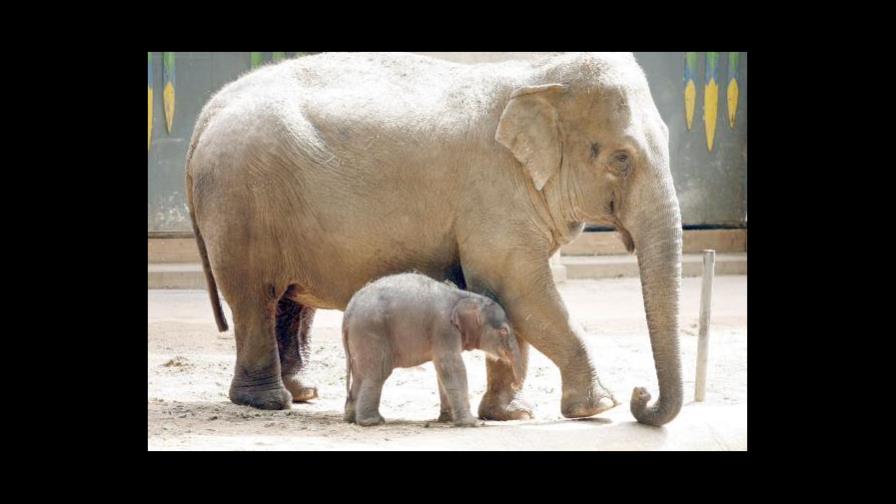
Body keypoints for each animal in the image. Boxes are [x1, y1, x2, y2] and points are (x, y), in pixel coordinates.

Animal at [342, 272, 522, 427]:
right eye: (504, 330)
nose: (515, 385)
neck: (463, 295)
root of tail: (349, 310)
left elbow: (442, 370)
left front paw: (449, 420)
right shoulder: (444, 328)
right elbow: (451, 366)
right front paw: (472, 423)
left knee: (359, 374)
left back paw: (351, 419)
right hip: (371, 332)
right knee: (377, 372)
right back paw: (372, 421)